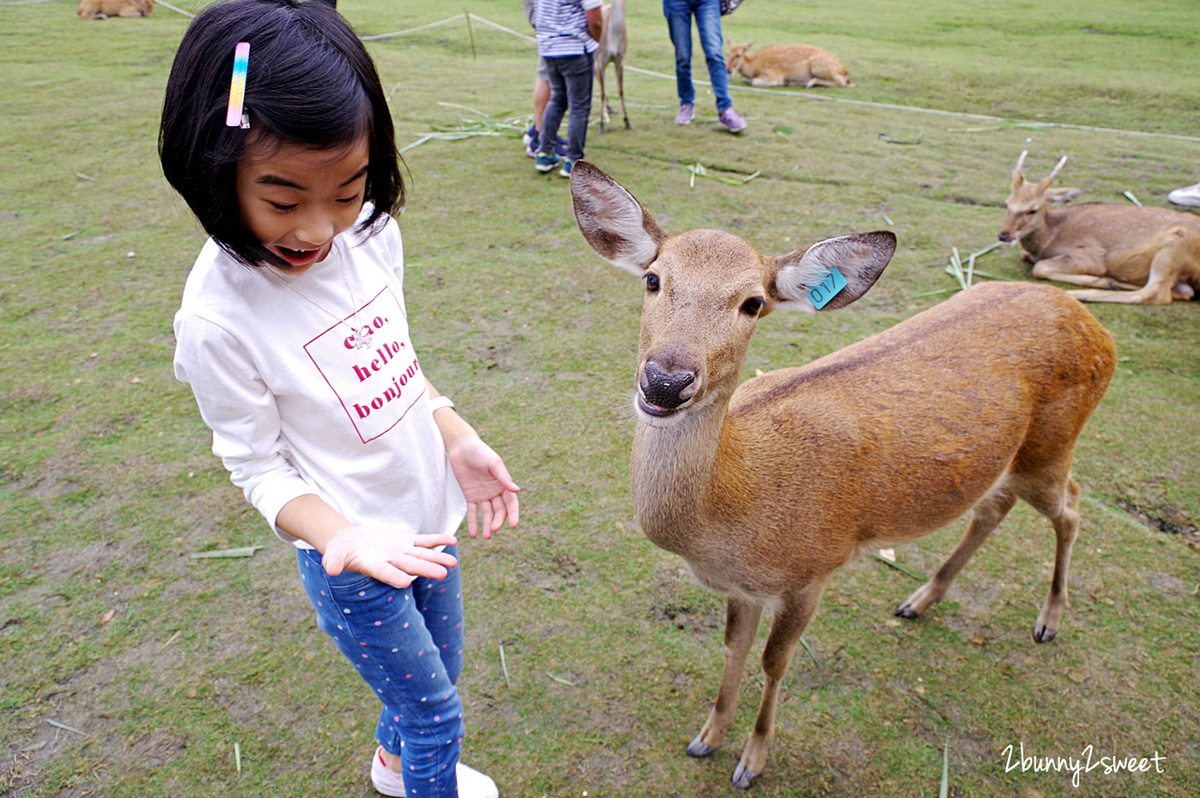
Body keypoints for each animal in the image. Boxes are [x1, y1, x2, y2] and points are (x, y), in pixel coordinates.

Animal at [571, 158, 1113, 787]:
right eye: (653, 279)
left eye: (752, 303)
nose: (664, 381)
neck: (730, 514)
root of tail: (1098, 328)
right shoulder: (744, 589)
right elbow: (733, 648)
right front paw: (706, 737)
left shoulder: (815, 568)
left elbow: (775, 660)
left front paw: (752, 761)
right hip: (1008, 460)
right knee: (993, 504)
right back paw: (919, 600)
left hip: (1051, 449)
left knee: (1071, 505)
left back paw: (1048, 621)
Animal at [595, 0, 633, 132]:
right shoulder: (600, 59)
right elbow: (602, 92)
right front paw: (601, 126)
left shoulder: (619, 60)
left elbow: (621, 90)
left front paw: (627, 122)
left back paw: (610, 109)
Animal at [720, 40, 854, 88]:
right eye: (727, 53)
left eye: (738, 55)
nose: (728, 70)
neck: (753, 66)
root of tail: (844, 70)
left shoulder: (773, 74)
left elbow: (754, 81)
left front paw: (781, 82)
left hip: (818, 67)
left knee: (843, 83)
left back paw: (806, 83)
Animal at [993, 149, 1200, 302]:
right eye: (1006, 203)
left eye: (1033, 210)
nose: (1004, 235)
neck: (1050, 239)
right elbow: (1026, 256)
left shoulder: (1092, 256)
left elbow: (1040, 267)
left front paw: (1099, 279)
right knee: (1182, 292)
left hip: (1176, 245)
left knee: (1156, 292)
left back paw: (1080, 293)